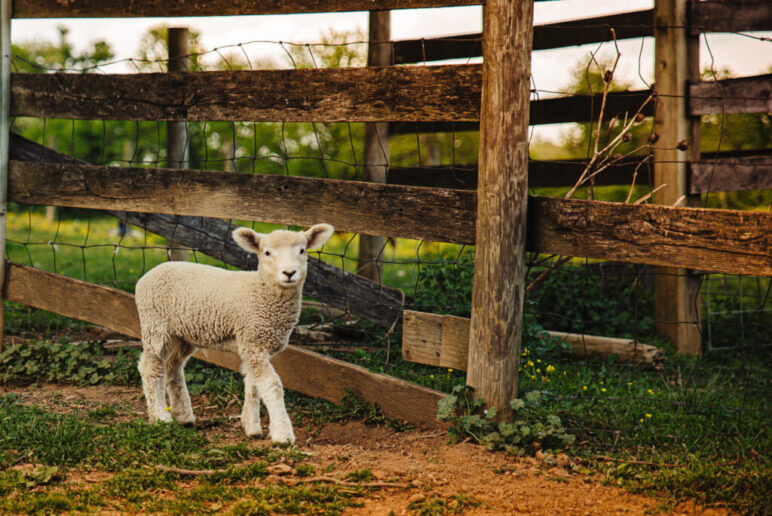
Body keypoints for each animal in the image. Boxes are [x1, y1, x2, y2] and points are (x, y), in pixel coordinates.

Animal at [136, 224, 334, 446]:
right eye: (267, 253)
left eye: (302, 250)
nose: (289, 272)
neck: (262, 291)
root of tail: (151, 272)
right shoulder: (253, 340)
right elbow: (271, 385)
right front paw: (282, 434)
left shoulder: (253, 344)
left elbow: (253, 385)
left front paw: (251, 426)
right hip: (156, 326)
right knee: (151, 368)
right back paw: (160, 417)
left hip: (183, 334)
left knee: (173, 365)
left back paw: (183, 415)